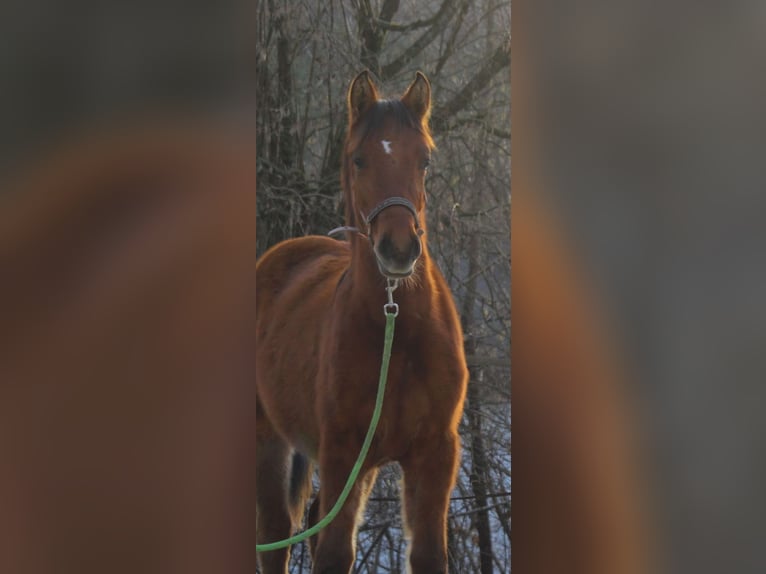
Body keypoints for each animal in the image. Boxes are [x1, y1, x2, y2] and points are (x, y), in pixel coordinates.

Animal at [255, 71, 469, 574]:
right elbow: (335, 552)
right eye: (359, 159)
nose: (398, 249)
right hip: (269, 440)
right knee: (277, 532)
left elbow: (428, 556)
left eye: (425, 159)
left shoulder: (435, 454)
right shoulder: (341, 450)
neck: (398, 333)